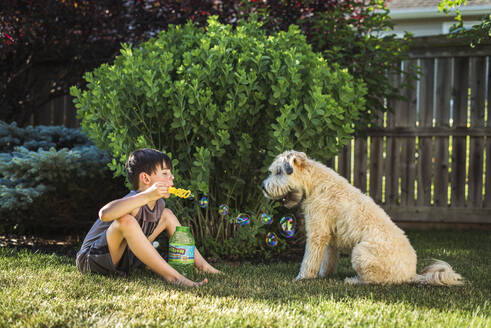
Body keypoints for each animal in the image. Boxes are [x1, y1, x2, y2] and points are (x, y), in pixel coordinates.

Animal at [264, 150, 464, 286]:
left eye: (279, 172)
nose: (263, 187)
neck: (314, 184)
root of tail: (410, 274)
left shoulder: (317, 234)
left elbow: (309, 260)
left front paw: (303, 277)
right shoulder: (330, 239)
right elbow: (327, 261)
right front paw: (324, 275)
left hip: (360, 252)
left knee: (374, 281)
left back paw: (353, 280)